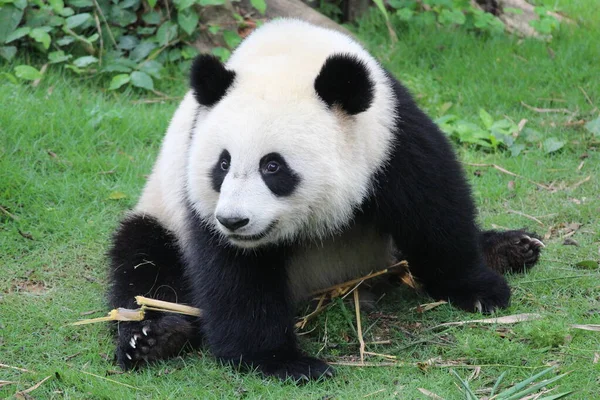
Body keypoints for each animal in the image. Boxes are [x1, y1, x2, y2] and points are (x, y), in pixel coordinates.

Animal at [108, 18, 544, 382]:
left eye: (273, 166)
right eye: (223, 163)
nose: (234, 221)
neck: (288, 57)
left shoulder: (391, 139)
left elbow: (435, 210)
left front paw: (480, 292)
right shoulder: (198, 196)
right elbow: (234, 275)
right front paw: (282, 361)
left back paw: (514, 247)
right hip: (160, 211)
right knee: (143, 261)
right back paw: (153, 337)